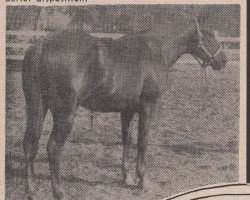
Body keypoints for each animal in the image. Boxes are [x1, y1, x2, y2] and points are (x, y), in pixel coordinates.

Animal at [22, 19, 228, 200]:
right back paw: (59, 192)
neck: (156, 50)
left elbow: (126, 141)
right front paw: (142, 180)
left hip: (36, 108)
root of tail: (42, 45)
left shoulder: (127, 111)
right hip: (65, 114)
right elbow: (142, 142)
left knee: (30, 145)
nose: (223, 60)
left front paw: (127, 177)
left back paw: (31, 191)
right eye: (210, 36)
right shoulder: (148, 107)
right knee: (53, 148)